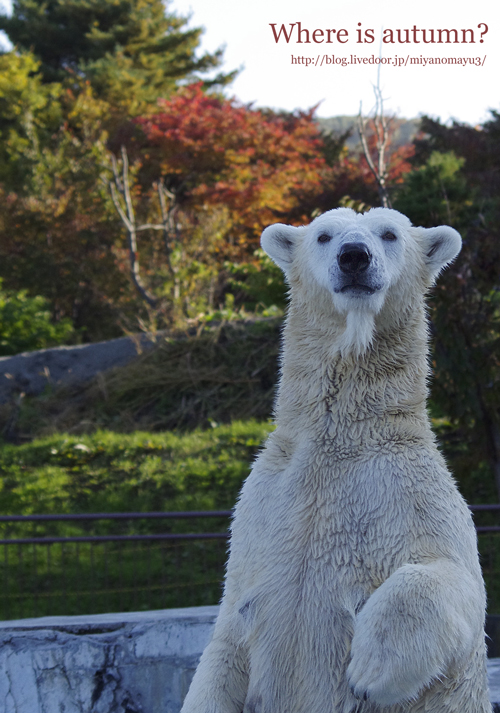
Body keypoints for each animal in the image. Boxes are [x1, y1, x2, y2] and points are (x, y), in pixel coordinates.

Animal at [179, 207, 488, 712]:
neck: (340, 440)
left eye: (389, 233)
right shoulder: (260, 510)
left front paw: (369, 671)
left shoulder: (406, 488)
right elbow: (225, 639)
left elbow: (454, 577)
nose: (354, 256)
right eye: (324, 235)